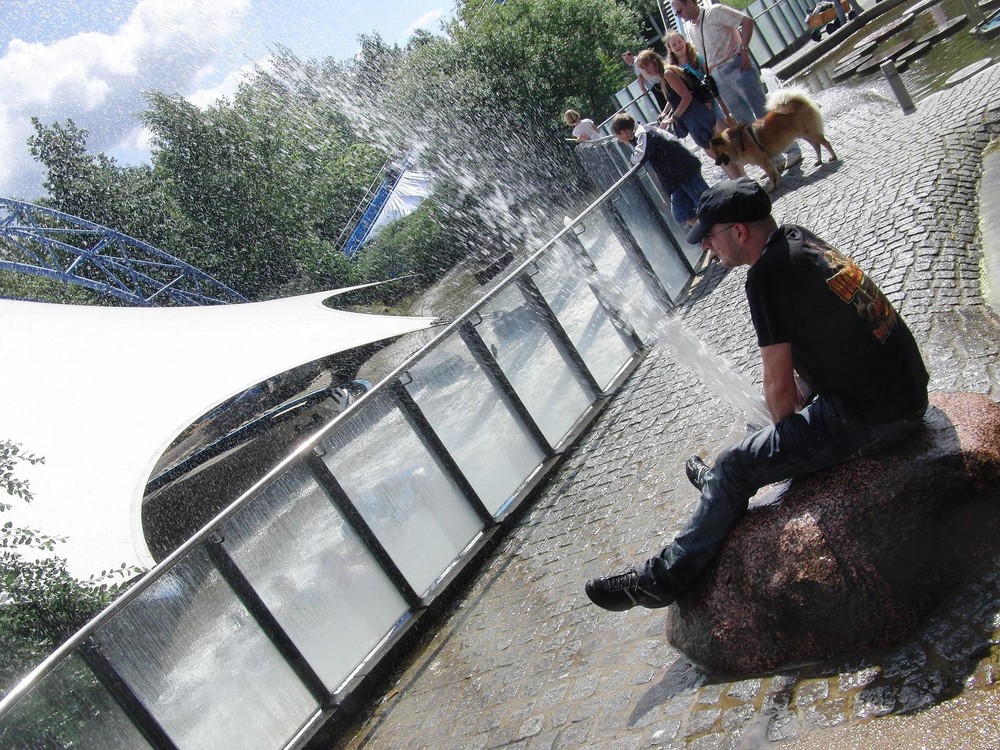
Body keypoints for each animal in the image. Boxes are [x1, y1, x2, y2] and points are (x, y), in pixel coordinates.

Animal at [708, 88, 840, 191]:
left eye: (717, 153)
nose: (716, 163)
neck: (738, 140)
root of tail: (797, 102)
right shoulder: (767, 161)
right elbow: (774, 172)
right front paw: (778, 182)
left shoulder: (763, 161)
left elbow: (771, 175)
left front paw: (772, 187)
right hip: (805, 135)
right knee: (817, 146)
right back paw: (819, 161)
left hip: (810, 133)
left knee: (826, 143)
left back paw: (833, 157)